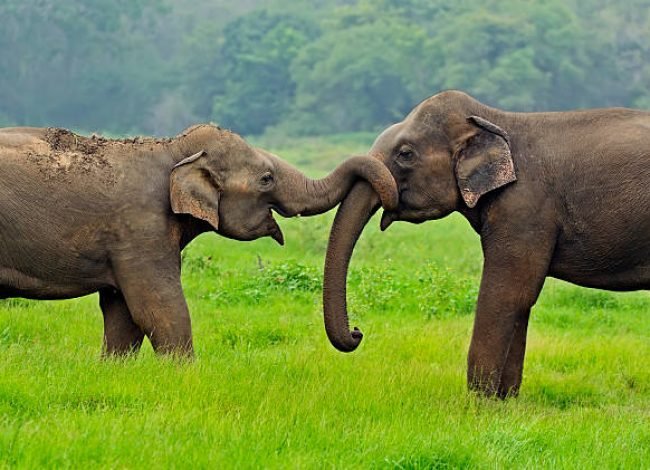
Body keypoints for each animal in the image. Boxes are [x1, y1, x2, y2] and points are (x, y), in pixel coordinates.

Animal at [0, 124, 394, 356]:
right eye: (266, 179)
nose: (358, 332)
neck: (173, 150)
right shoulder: (140, 228)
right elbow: (159, 309)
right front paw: (183, 376)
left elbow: (122, 314)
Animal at [320, 90, 648, 398]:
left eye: (405, 154)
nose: (358, 331)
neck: (495, 119)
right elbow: (519, 302)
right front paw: (505, 404)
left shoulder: (525, 208)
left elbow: (508, 294)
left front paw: (479, 405)